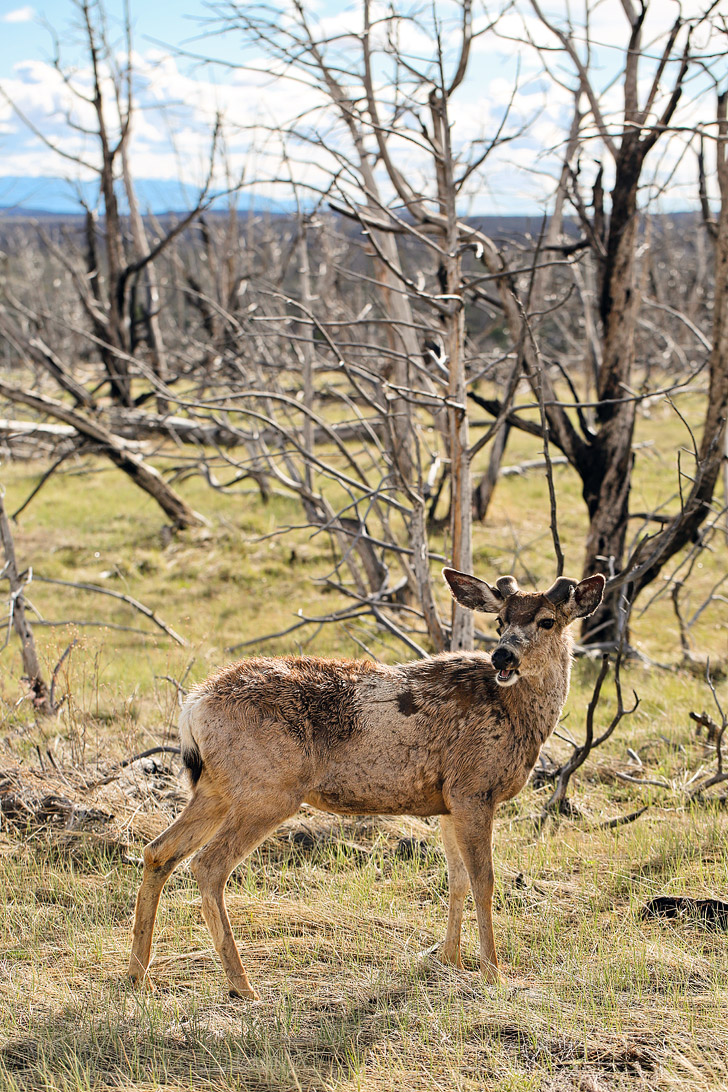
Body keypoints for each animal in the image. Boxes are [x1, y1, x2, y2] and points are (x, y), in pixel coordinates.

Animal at [129, 567, 602, 1000]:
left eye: (548, 621)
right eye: (501, 620)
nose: (502, 657)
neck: (516, 715)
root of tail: (193, 706)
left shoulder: (448, 800)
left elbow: (457, 880)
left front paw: (450, 959)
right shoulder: (474, 788)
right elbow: (483, 881)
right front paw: (494, 974)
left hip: (216, 789)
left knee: (158, 852)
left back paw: (138, 974)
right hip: (268, 790)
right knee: (208, 865)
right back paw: (242, 984)